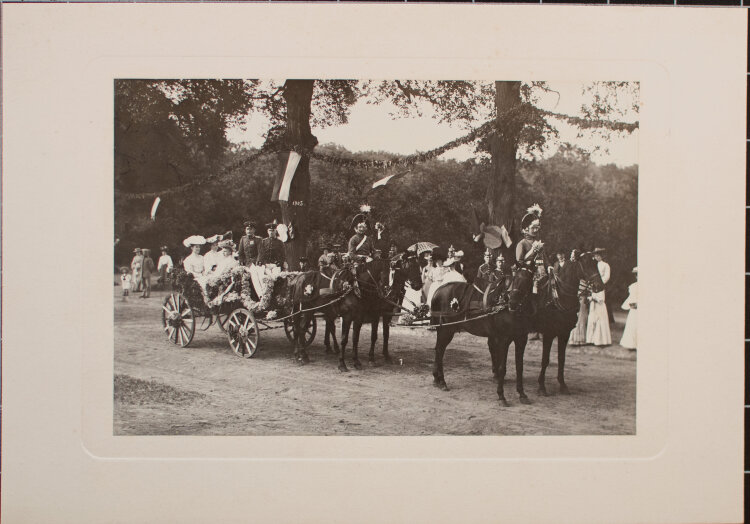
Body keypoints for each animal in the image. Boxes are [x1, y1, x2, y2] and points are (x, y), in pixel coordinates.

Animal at [432, 266, 536, 406]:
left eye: (528, 280)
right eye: (515, 278)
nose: (513, 303)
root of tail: (439, 290)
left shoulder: (521, 339)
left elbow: (520, 367)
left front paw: (522, 394)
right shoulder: (503, 340)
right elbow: (502, 368)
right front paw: (501, 395)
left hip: (444, 330)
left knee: (439, 350)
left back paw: (437, 379)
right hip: (446, 330)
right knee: (440, 351)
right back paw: (442, 381)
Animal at [536, 252, 604, 396]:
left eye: (596, 263)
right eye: (586, 264)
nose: (599, 286)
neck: (558, 297)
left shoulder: (564, 333)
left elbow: (562, 359)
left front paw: (562, 385)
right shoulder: (548, 333)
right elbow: (545, 359)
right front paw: (542, 386)